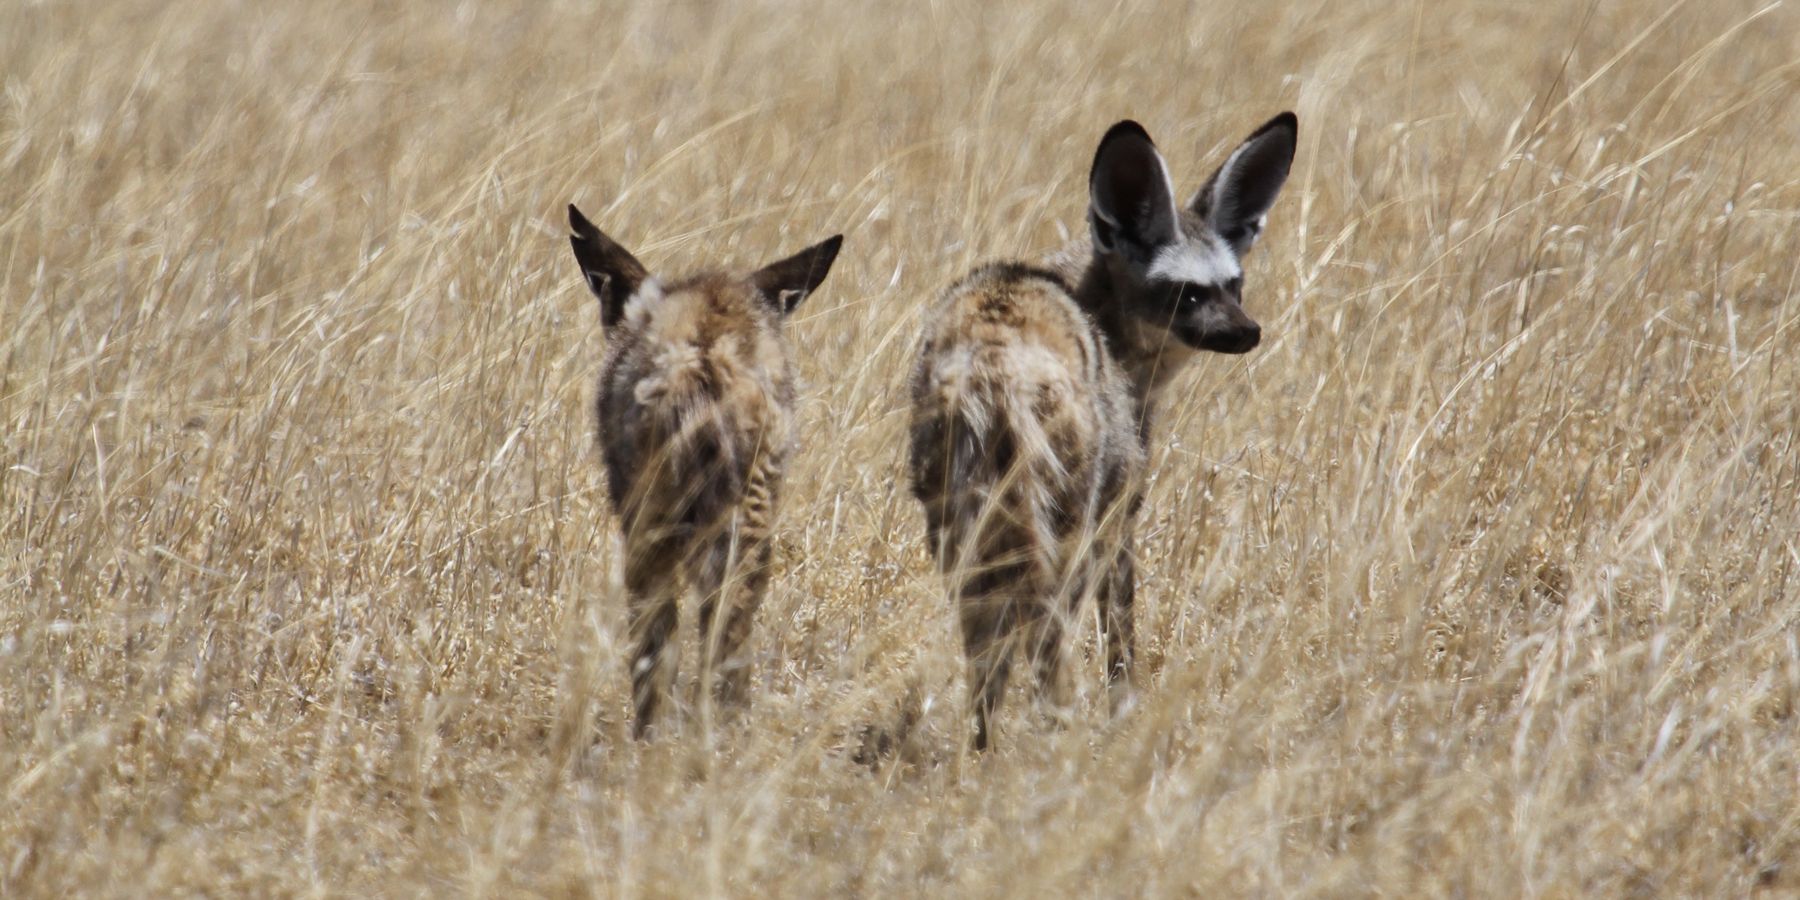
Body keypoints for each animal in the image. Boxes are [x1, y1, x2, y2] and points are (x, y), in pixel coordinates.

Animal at [567, 203, 842, 738]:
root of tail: (707, 361)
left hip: (653, 527)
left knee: (659, 648)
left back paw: (655, 740)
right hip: (748, 518)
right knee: (726, 629)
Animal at [908, 113, 1298, 750]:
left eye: (1234, 284)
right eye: (1186, 292)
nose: (1248, 332)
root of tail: (995, 353)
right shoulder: (1119, 513)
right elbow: (1122, 637)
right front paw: (1124, 712)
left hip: (960, 526)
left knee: (988, 655)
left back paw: (983, 750)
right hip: (1064, 524)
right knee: (1048, 646)